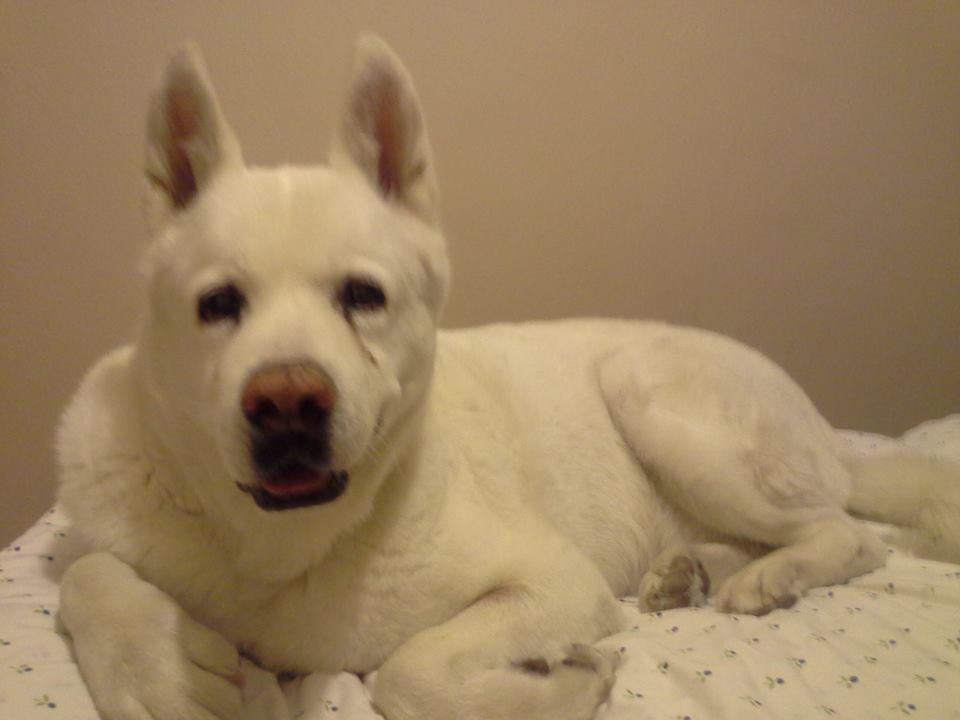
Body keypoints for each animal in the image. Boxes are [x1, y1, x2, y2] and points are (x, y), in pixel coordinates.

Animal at [57, 37, 960, 720]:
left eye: (362, 296)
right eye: (218, 304)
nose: (286, 405)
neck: (283, 545)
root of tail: (833, 442)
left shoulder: (558, 583)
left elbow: (407, 672)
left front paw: (567, 682)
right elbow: (81, 569)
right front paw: (162, 674)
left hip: (646, 392)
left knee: (849, 533)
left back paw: (766, 577)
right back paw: (689, 573)